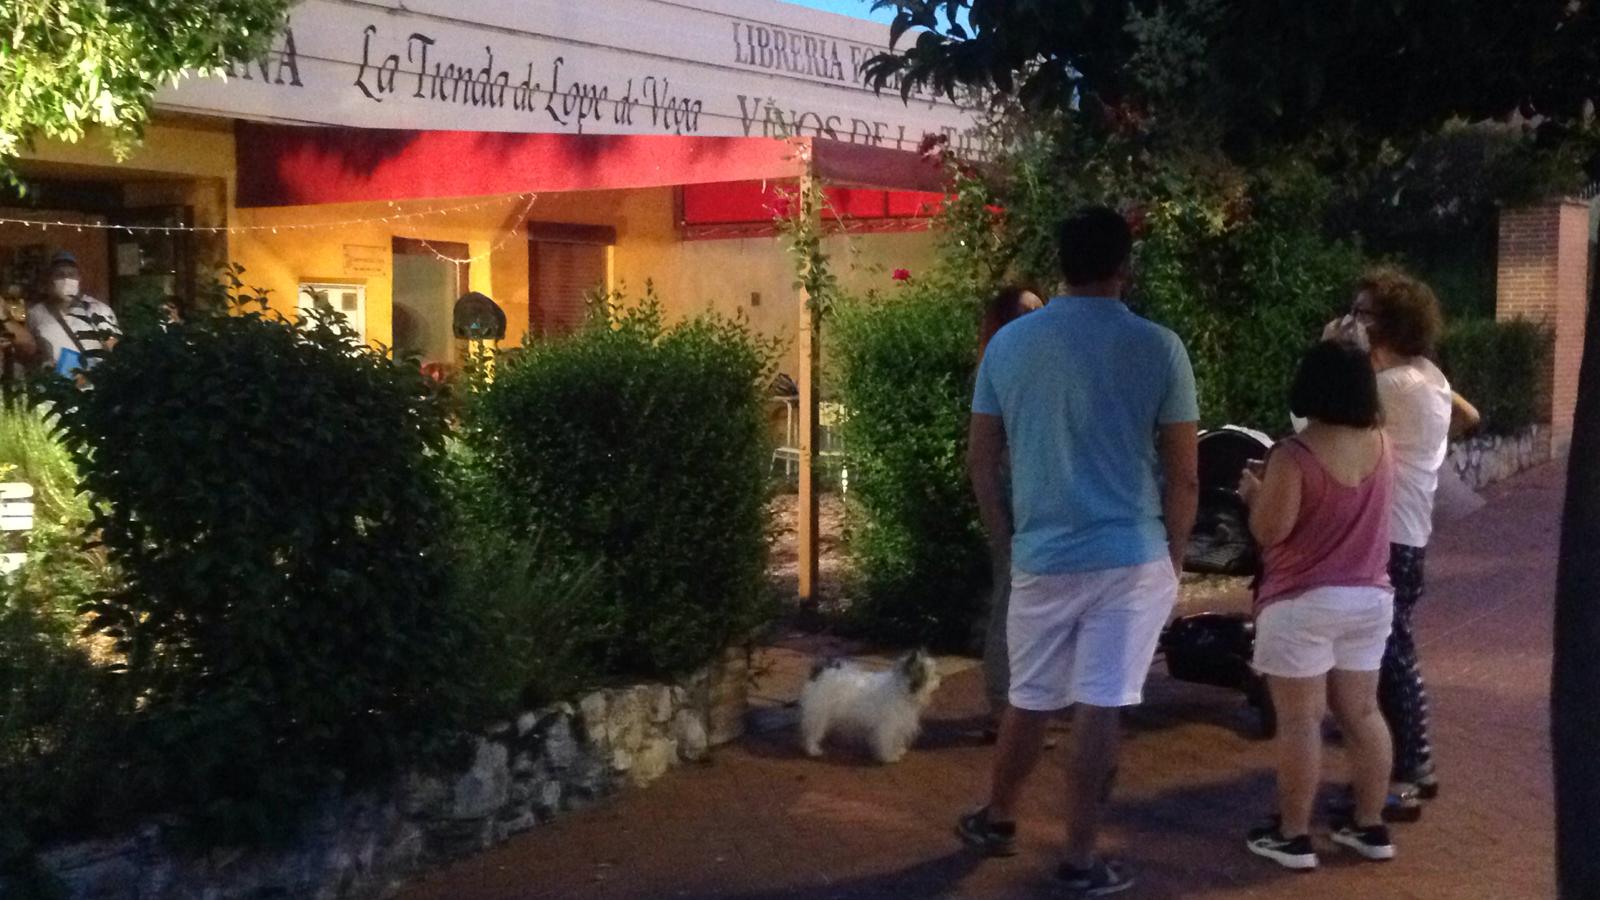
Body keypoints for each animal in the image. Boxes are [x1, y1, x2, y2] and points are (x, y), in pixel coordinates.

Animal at [798, 649, 941, 763]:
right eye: (931, 676)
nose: (939, 680)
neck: (902, 689)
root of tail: (822, 674)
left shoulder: (899, 724)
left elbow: (895, 738)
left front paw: (898, 750)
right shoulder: (888, 725)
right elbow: (887, 740)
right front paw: (889, 757)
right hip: (819, 714)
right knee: (812, 733)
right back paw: (813, 750)